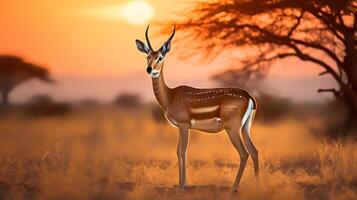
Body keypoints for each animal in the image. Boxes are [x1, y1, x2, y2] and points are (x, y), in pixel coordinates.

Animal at [135, 25, 258, 192]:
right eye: (147, 56)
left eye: (160, 57)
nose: (149, 69)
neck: (170, 96)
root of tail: (249, 96)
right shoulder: (180, 127)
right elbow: (179, 152)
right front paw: (183, 184)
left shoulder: (184, 125)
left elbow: (182, 152)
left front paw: (182, 186)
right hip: (245, 128)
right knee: (254, 151)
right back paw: (259, 186)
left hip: (233, 129)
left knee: (244, 153)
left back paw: (233, 189)